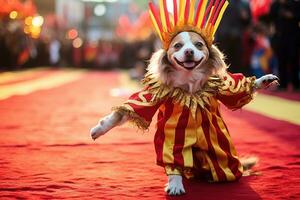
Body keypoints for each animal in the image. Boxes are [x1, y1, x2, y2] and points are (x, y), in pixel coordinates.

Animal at [89, 31, 278, 195]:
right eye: (178, 46)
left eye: (198, 45)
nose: (189, 51)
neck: (189, 83)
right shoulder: (154, 99)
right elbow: (127, 111)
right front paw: (100, 129)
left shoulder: (223, 86)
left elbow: (238, 89)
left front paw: (263, 81)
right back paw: (179, 181)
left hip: (225, 158)